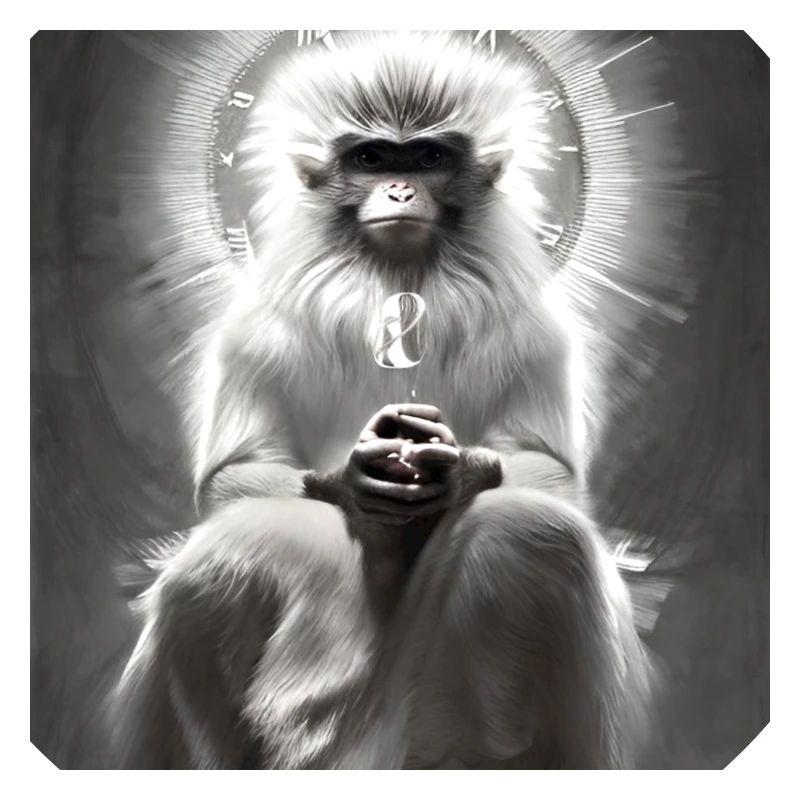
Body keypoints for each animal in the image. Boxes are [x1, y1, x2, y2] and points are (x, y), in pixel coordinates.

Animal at [111, 31, 653, 769]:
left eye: (427, 158)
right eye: (370, 159)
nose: (398, 189)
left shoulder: (538, 328)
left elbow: (554, 475)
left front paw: (461, 472)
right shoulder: (252, 326)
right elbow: (232, 477)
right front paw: (351, 479)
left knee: (534, 533)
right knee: (222, 564)